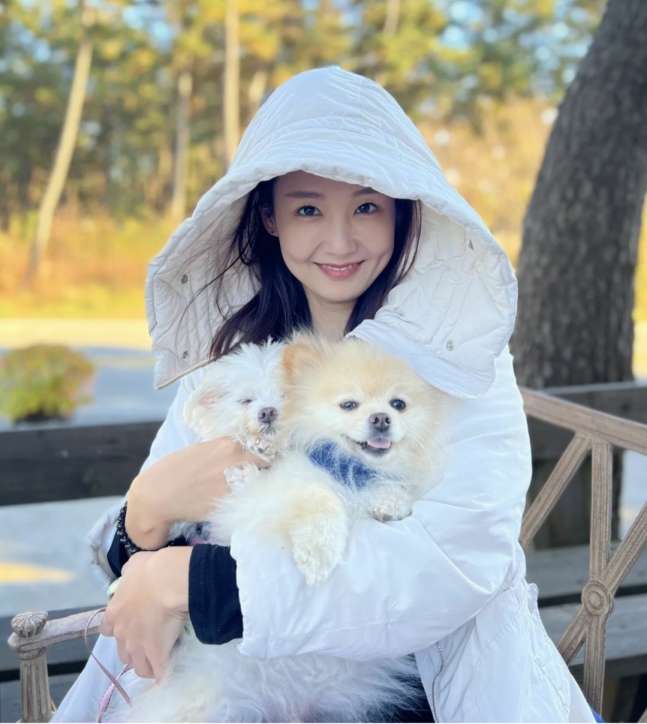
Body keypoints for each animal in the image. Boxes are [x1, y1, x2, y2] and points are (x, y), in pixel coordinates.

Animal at [113, 334, 453, 722]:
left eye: (398, 404)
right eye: (247, 400)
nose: (268, 412)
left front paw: (388, 500)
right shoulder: (264, 498)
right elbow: (315, 500)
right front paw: (317, 550)